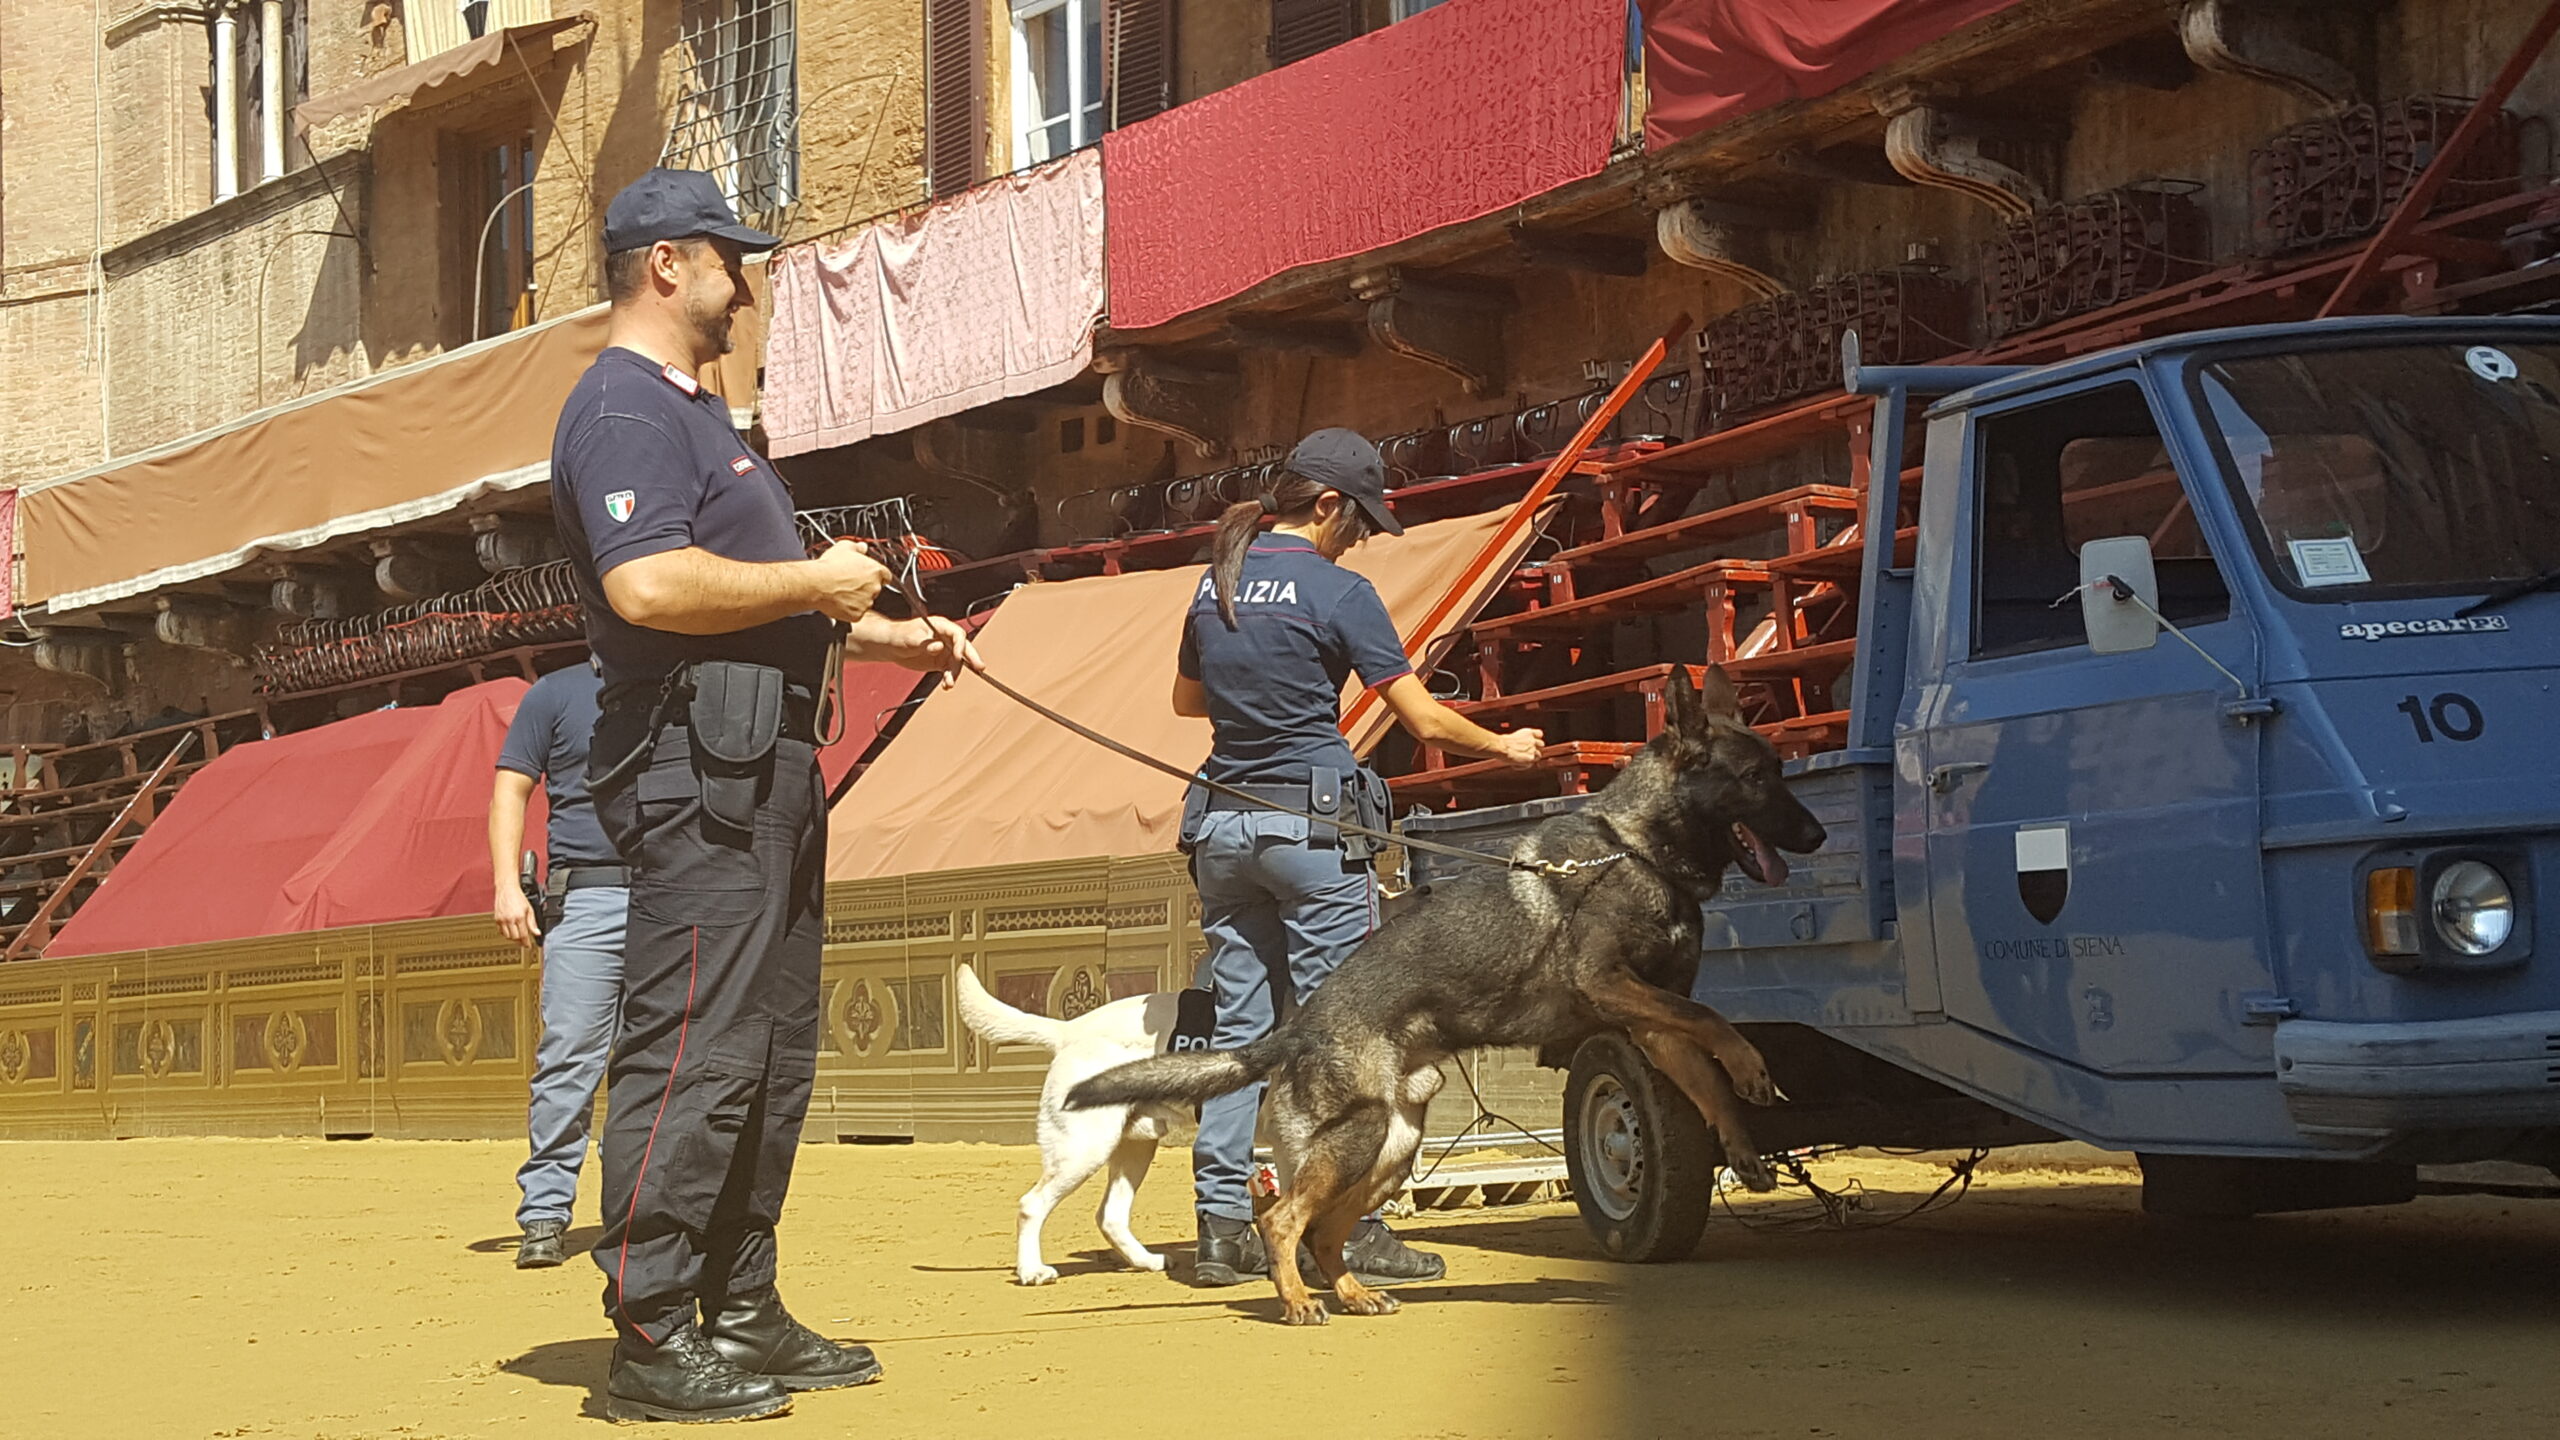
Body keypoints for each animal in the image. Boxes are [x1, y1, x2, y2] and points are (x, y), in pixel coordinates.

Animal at [957, 963, 1192, 1276]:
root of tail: (1071, 1029)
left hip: (1133, 1147)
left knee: (1110, 1216)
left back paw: (1147, 1260)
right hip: (1084, 1149)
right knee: (1031, 1205)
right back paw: (1031, 1270)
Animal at [1070, 666, 1832, 1322]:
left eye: (1779, 771)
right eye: (1755, 778)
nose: (1820, 833)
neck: (1633, 847)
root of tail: (1298, 1029)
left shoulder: (1653, 1022)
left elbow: (1707, 1074)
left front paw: (1742, 1145)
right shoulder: (1610, 984)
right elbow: (1714, 1020)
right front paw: (1752, 1067)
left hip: (1394, 1145)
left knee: (1324, 1232)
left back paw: (1353, 1293)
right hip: (1360, 1137)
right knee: (1284, 1219)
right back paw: (1298, 1301)